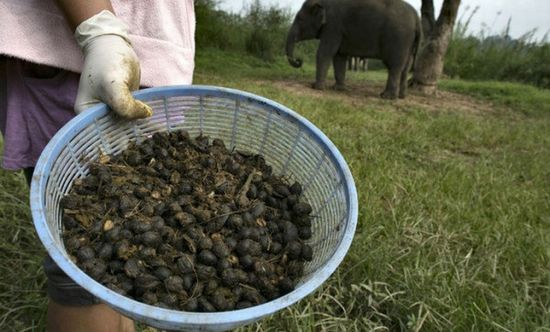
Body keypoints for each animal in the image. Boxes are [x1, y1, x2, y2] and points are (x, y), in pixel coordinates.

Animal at [288, 0, 422, 98]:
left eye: (300, 19)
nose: (299, 61)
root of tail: (417, 18)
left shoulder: (333, 26)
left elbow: (325, 53)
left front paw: (316, 87)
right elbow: (339, 57)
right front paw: (338, 89)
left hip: (399, 38)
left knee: (394, 66)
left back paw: (386, 97)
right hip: (409, 42)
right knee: (405, 68)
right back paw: (401, 96)